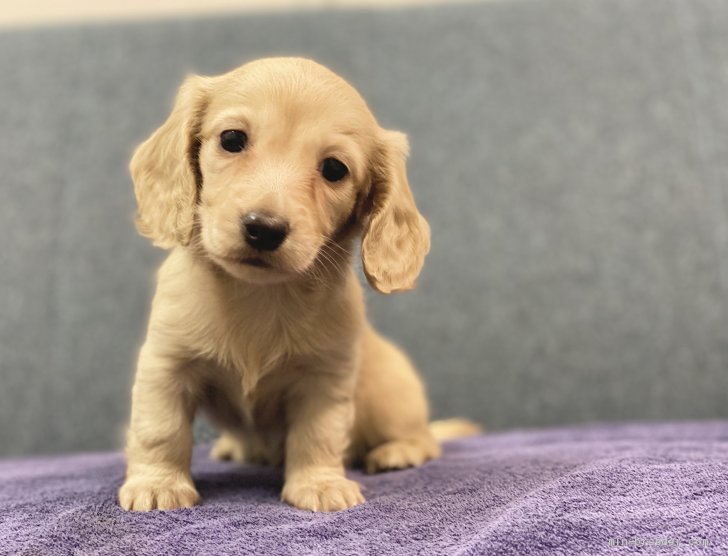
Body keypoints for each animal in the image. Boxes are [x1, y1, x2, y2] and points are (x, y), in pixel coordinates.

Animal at [119, 57, 478, 512]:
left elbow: (318, 436)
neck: (259, 295)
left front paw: (320, 485)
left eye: (334, 169)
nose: (264, 228)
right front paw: (158, 483)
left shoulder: (325, 380)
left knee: (424, 437)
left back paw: (399, 450)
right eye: (232, 139)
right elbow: (160, 429)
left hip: (391, 401)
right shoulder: (166, 365)